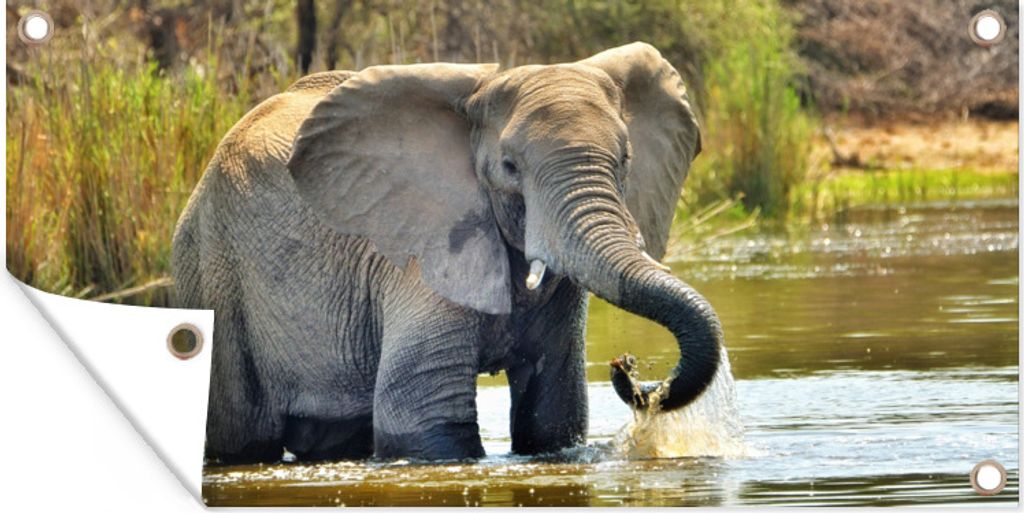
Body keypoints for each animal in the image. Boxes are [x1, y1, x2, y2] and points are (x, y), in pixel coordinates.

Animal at [172, 42, 723, 463]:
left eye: (625, 159)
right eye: (509, 167)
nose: (626, 367)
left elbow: (553, 414)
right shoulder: (419, 251)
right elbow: (423, 416)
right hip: (213, 270)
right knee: (241, 436)